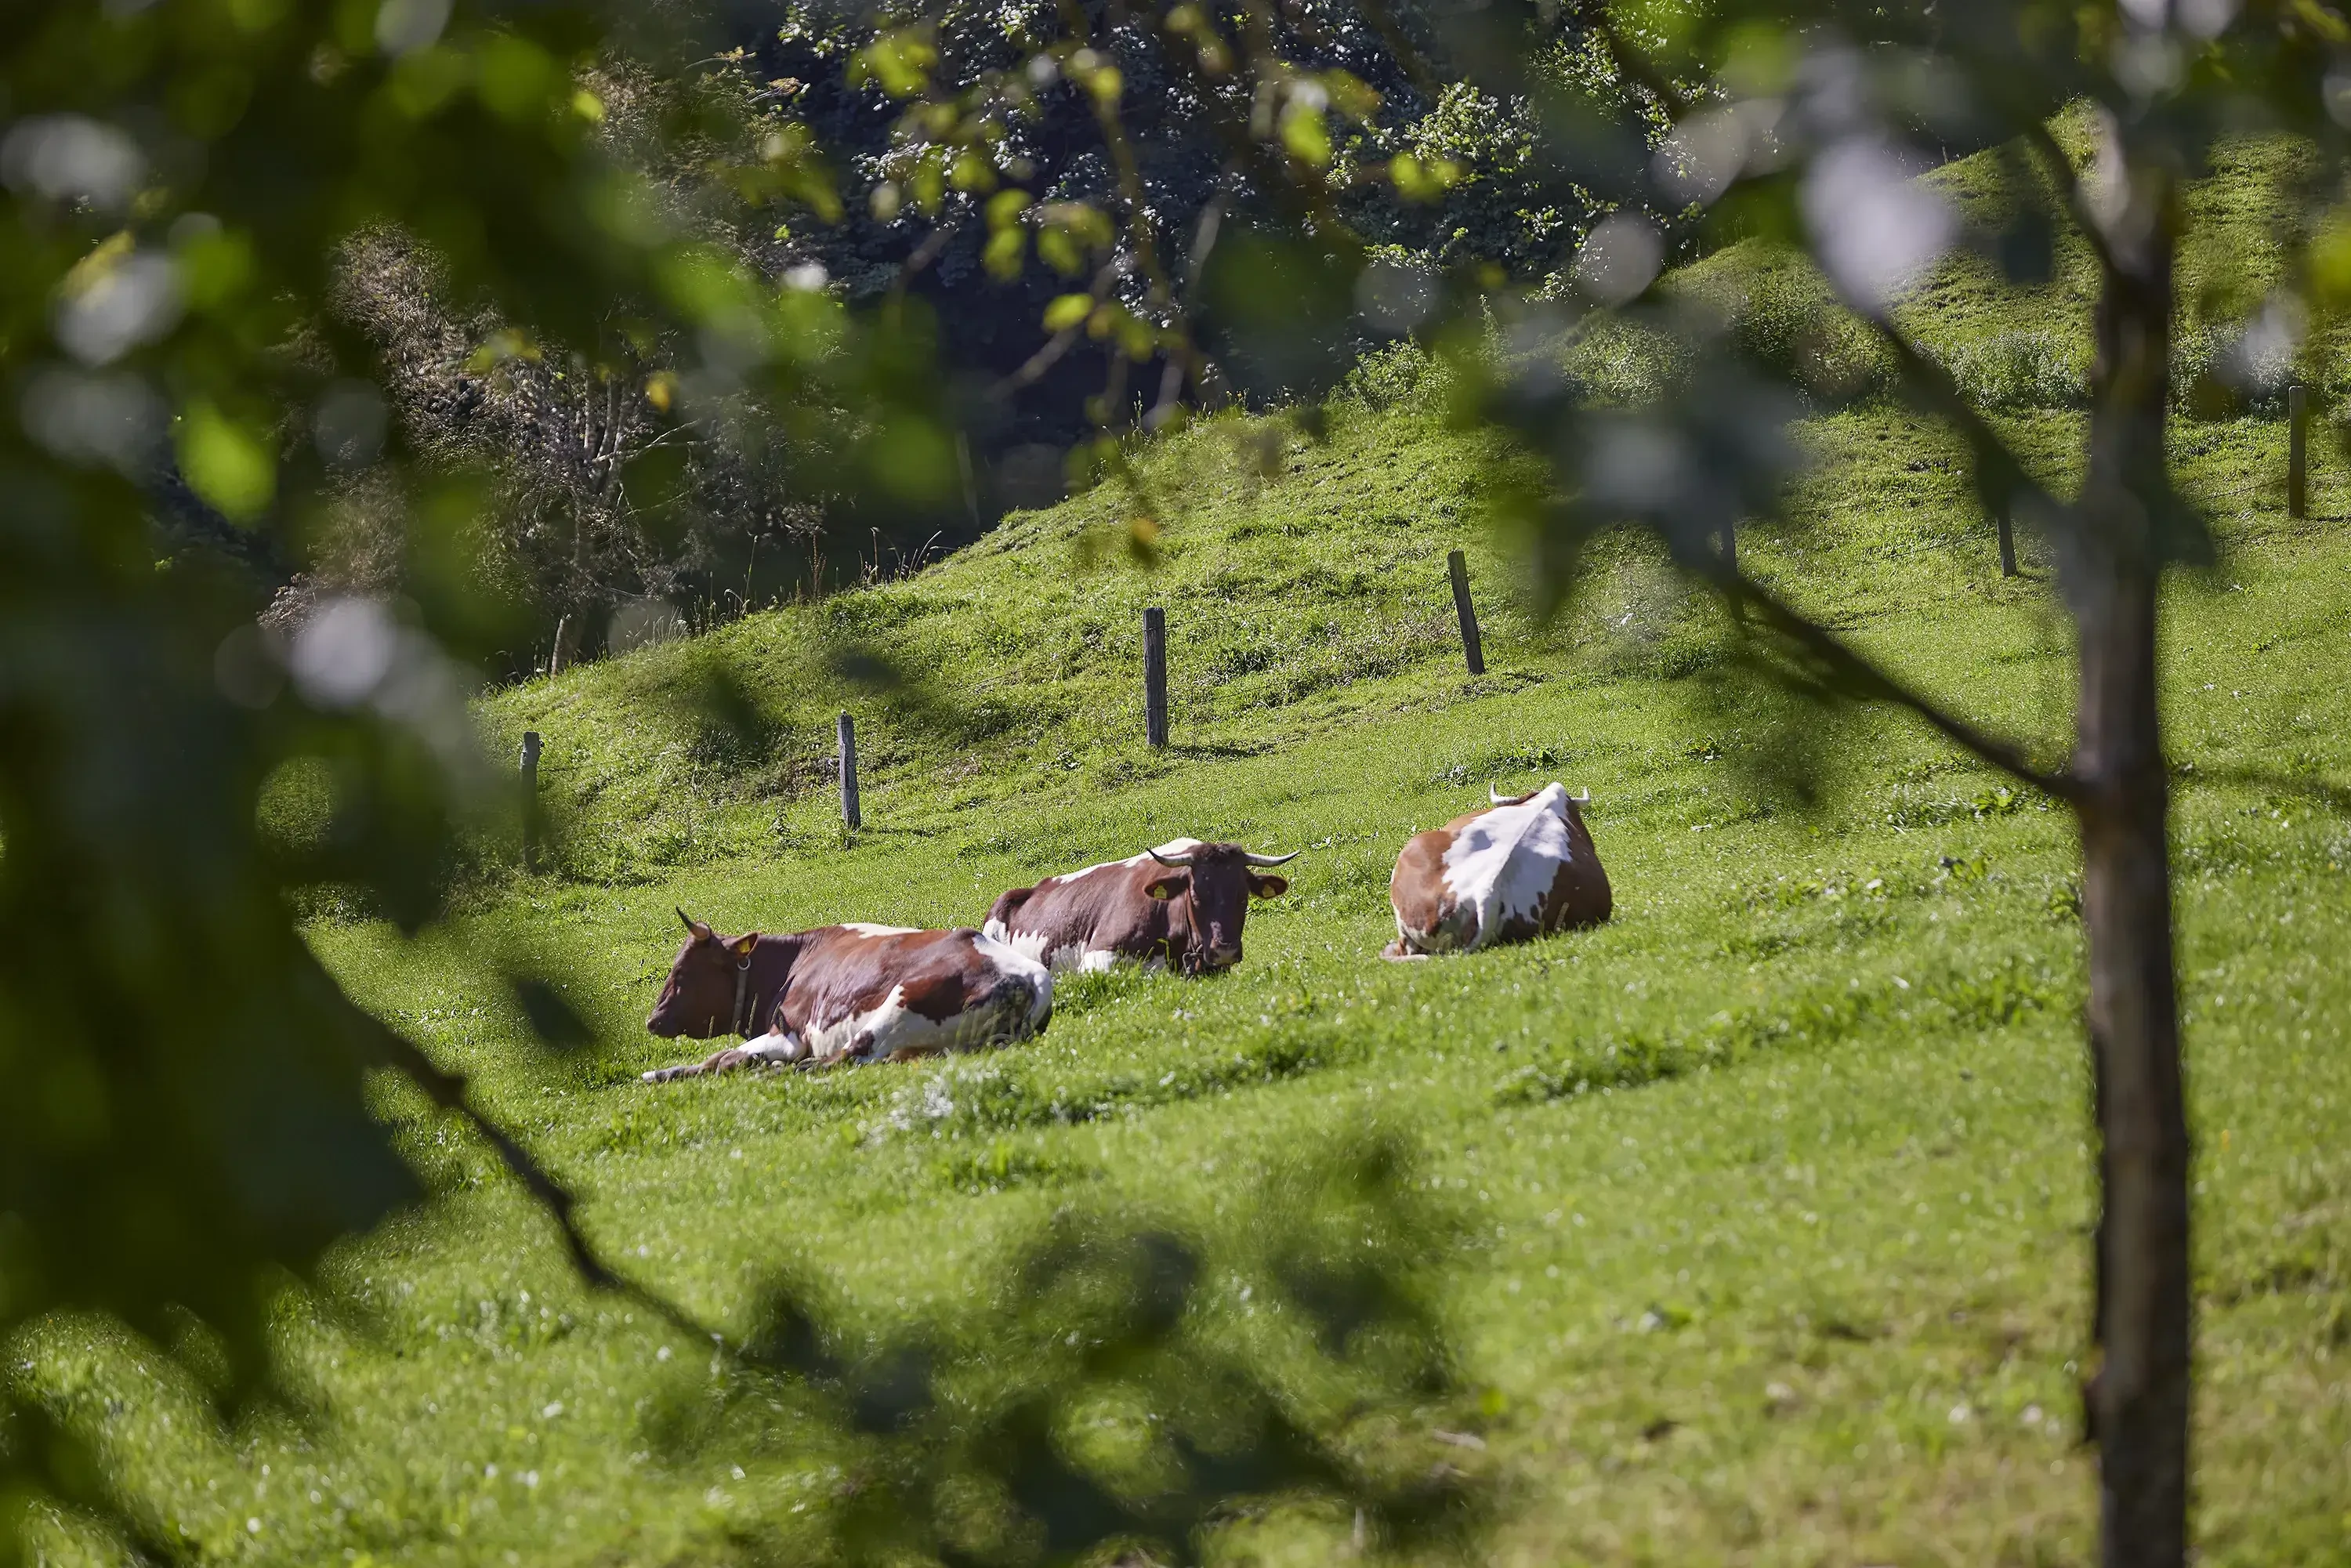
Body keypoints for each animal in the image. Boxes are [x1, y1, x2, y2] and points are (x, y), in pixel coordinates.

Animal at [639, 907, 1053, 1081]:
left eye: (682, 973)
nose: (653, 1020)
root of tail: (1029, 977)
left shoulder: (789, 1035)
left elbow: (722, 1059)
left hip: (901, 1002)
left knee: (847, 1057)